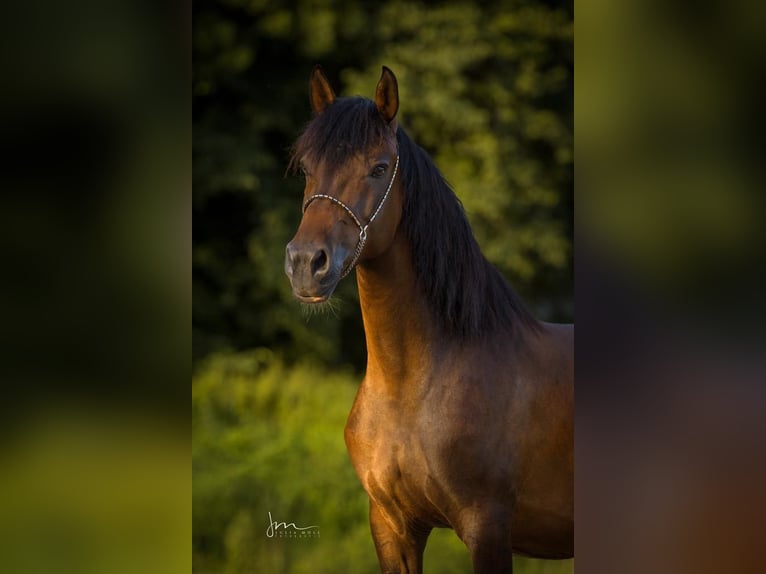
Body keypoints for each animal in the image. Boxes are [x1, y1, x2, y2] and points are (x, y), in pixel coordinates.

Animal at [285, 65, 573, 573]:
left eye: (379, 168)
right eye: (306, 168)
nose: (305, 263)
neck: (413, 387)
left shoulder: (487, 527)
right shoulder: (392, 527)